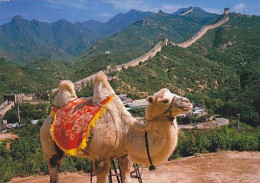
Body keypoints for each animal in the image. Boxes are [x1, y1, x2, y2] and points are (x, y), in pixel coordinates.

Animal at [39, 72, 192, 182]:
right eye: (165, 100)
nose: (187, 102)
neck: (126, 131)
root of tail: (47, 120)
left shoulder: (124, 156)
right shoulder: (101, 159)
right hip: (48, 147)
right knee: (53, 169)